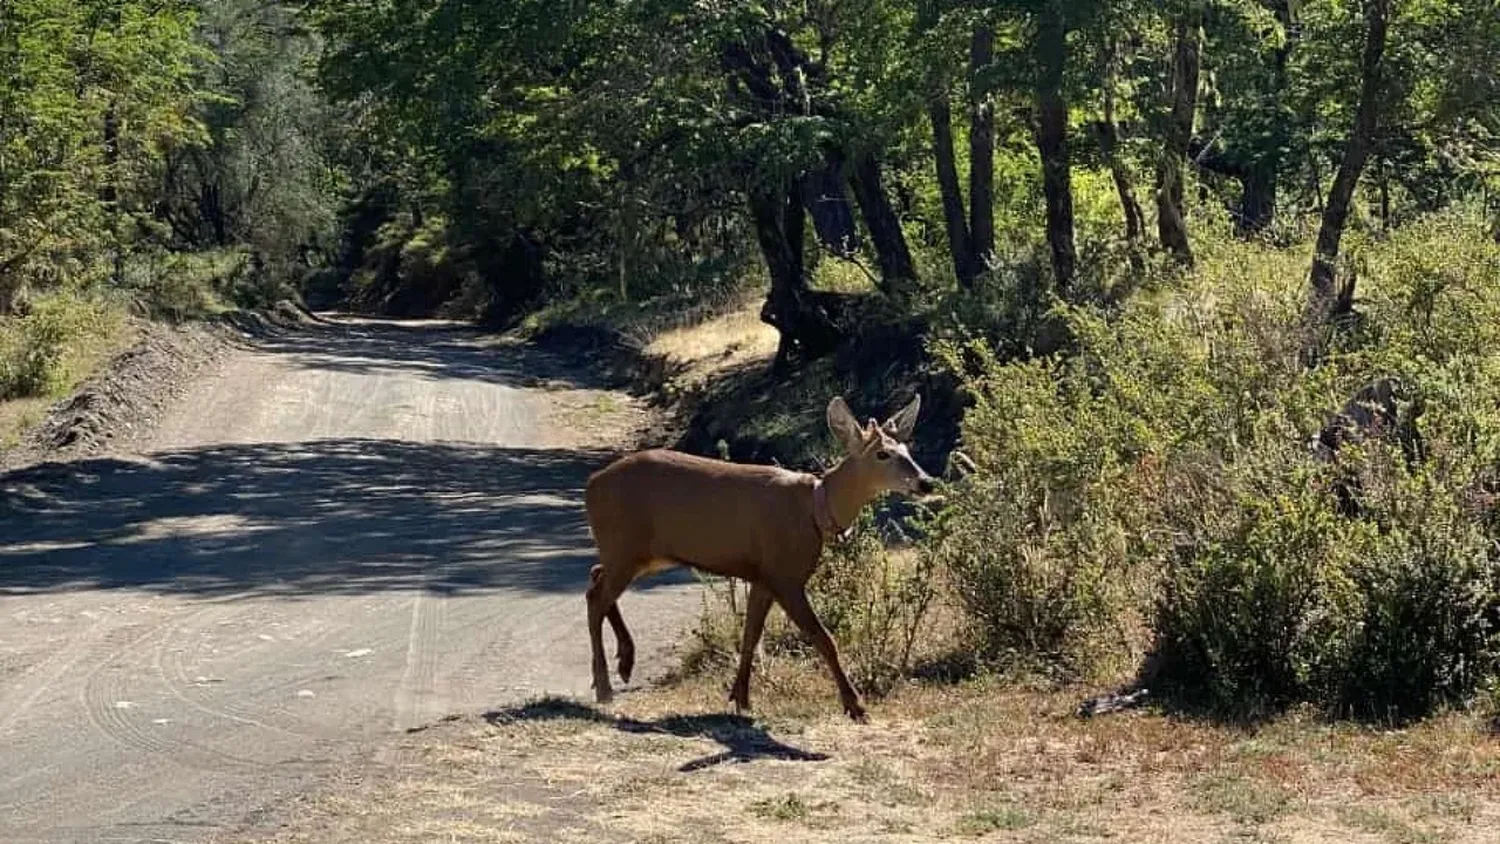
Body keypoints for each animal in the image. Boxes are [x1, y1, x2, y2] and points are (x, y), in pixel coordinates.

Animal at [585, 395, 936, 719]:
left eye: (908, 450)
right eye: (882, 453)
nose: (926, 482)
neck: (815, 509)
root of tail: (591, 484)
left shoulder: (762, 576)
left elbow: (750, 636)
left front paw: (740, 697)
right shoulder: (785, 574)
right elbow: (823, 638)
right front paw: (855, 705)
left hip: (642, 553)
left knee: (595, 576)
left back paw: (625, 663)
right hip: (626, 544)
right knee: (596, 597)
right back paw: (604, 687)